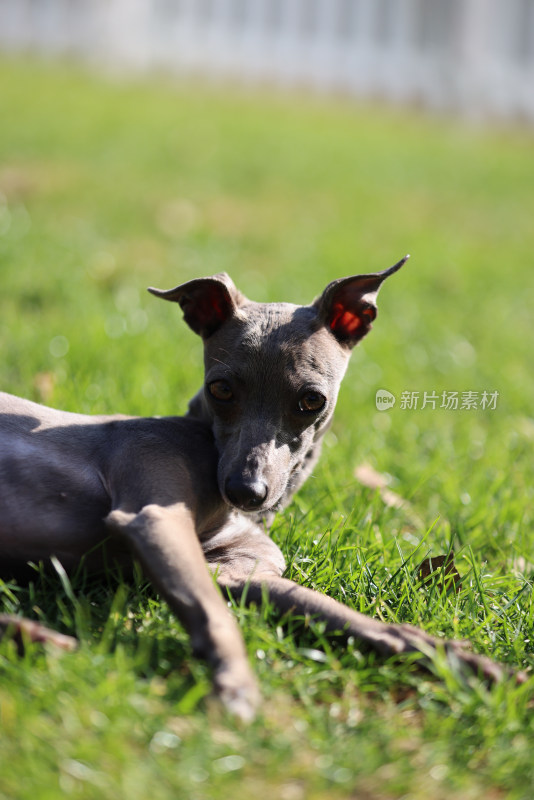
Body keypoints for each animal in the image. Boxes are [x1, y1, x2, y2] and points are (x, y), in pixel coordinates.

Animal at [0, 260, 520, 720]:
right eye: (221, 389)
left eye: (312, 400)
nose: (246, 491)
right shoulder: (154, 514)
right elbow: (216, 616)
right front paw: (236, 687)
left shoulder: (243, 574)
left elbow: (363, 623)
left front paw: (451, 658)